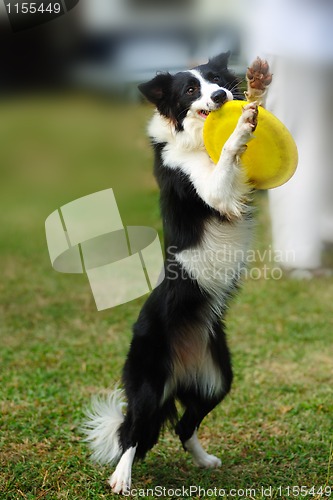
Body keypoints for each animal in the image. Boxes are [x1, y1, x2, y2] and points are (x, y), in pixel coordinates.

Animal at [83, 52, 270, 494]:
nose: (220, 97)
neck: (196, 137)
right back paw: (121, 478)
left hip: (217, 379)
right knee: (134, 433)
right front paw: (242, 125)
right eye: (189, 90)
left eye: (217, 79)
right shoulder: (211, 189)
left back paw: (204, 461)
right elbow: (226, 161)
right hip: (149, 383)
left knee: (184, 427)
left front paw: (259, 90)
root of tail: (179, 372)